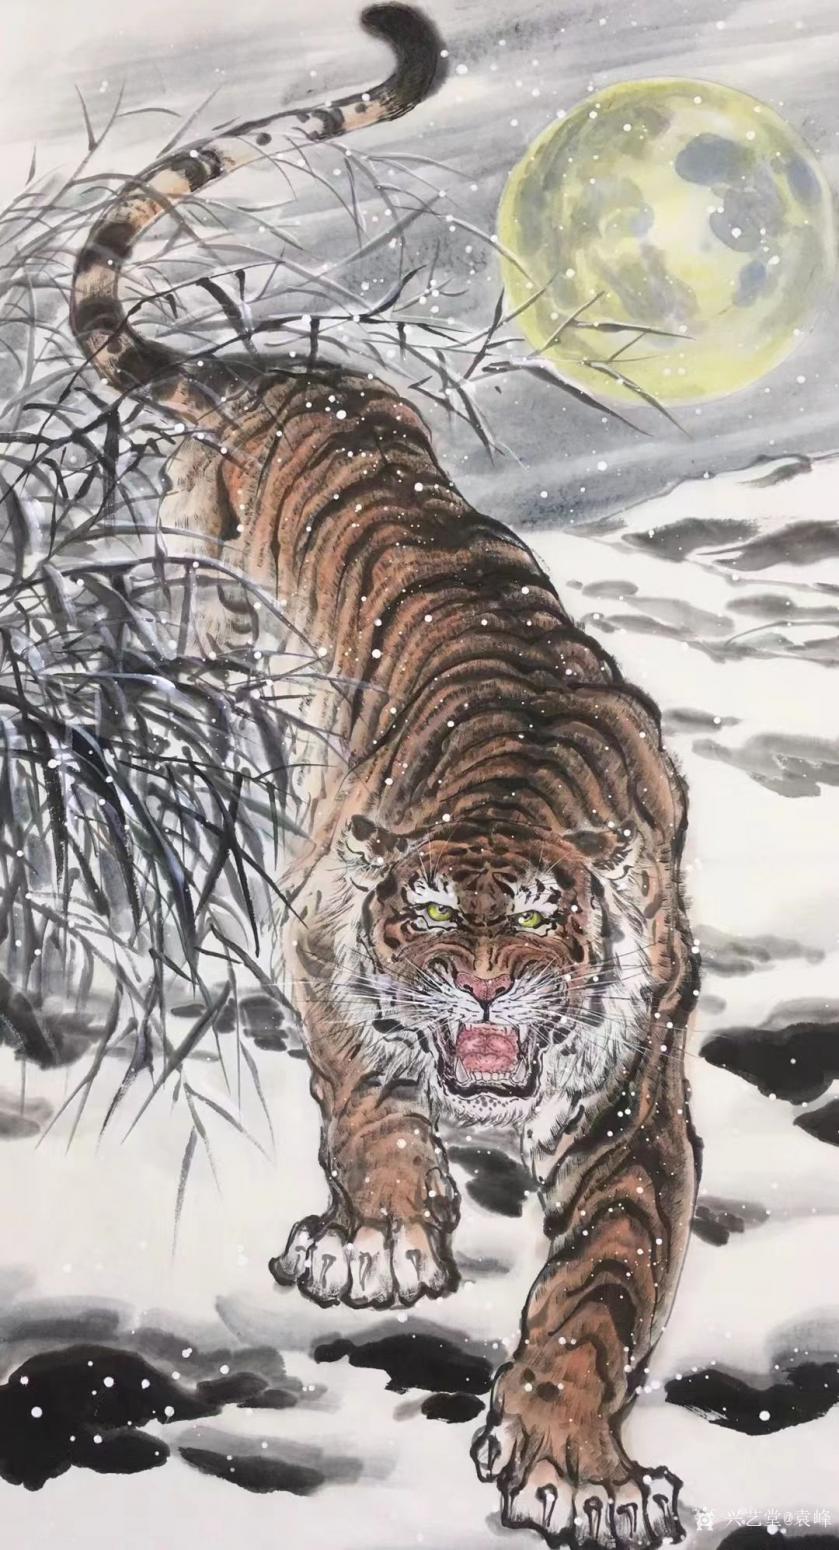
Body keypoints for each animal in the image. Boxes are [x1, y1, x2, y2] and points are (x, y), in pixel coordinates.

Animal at [70, 5, 701, 1544]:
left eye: (536, 918)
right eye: (419, 921)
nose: (475, 993)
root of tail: (274, 370)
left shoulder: (632, 1098)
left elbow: (597, 1286)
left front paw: (579, 1467)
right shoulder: (320, 930)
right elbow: (363, 1096)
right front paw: (377, 1242)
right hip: (203, 615)